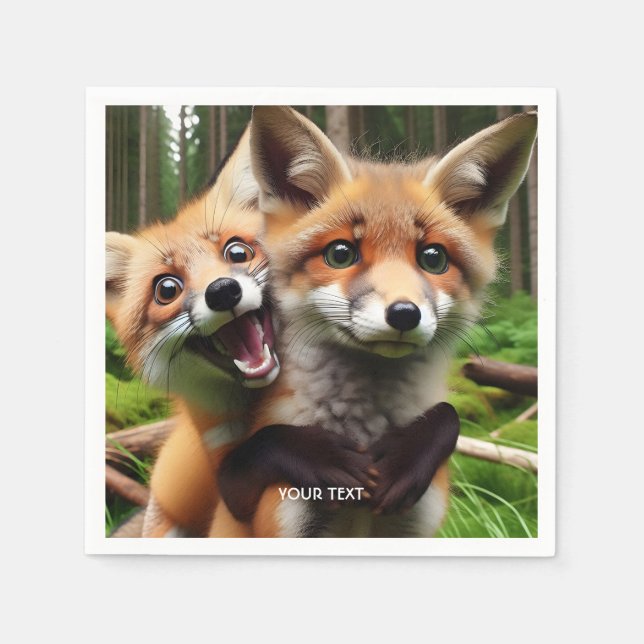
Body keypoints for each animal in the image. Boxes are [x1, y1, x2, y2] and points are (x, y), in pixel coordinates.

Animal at [211, 106, 538, 537]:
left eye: (433, 258)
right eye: (340, 254)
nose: (404, 314)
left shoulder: (418, 521)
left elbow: (447, 414)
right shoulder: (271, 512)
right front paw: (317, 454)